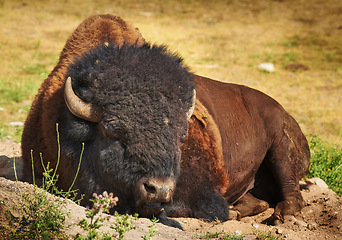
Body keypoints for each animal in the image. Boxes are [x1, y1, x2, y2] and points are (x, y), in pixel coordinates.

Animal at [20, 14, 310, 228]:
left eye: (181, 135)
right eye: (113, 132)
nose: (158, 189)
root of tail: (284, 113)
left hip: (281, 149)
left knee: (292, 192)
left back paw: (282, 217)